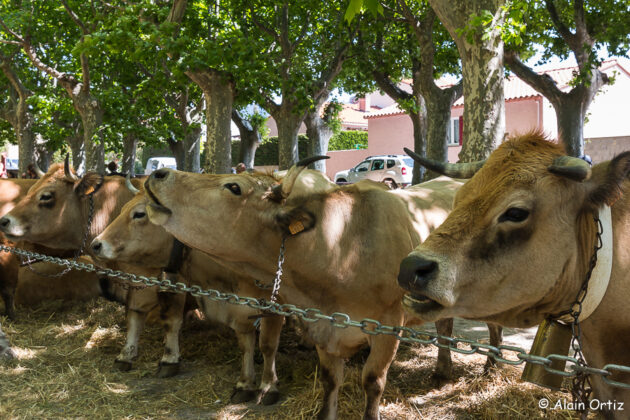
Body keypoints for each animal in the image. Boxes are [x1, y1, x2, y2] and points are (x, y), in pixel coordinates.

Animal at [90, 189, 286, 404]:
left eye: (140, 214)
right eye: (123, 208)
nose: (96, 244)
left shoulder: (274, 306)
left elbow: (267, 345)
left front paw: (268, 386)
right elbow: (245, 345)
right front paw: (245, 384)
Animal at [142, 162, 504, 420]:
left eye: (233, 187)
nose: (158, 172)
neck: (339, 247)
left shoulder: (389, 325)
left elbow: (372, 381)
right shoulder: (320, 325)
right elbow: (331, 379)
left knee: (493, 325)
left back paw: (492, 365)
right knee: (445, 324)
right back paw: (442, 371)